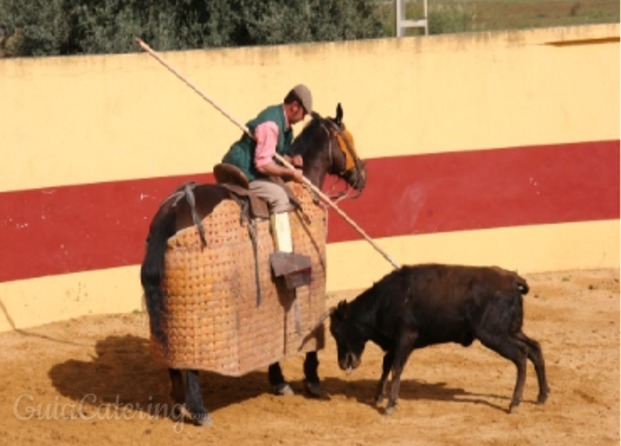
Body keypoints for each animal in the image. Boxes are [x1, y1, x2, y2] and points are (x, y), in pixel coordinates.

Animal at [139, 102, 366, 426]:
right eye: (348, 139)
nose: (362, 176)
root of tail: (173, 207)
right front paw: (312, 381)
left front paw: (279, 381)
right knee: (192, 363)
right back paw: (199, 410)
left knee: (173, 354)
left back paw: (178, 402)